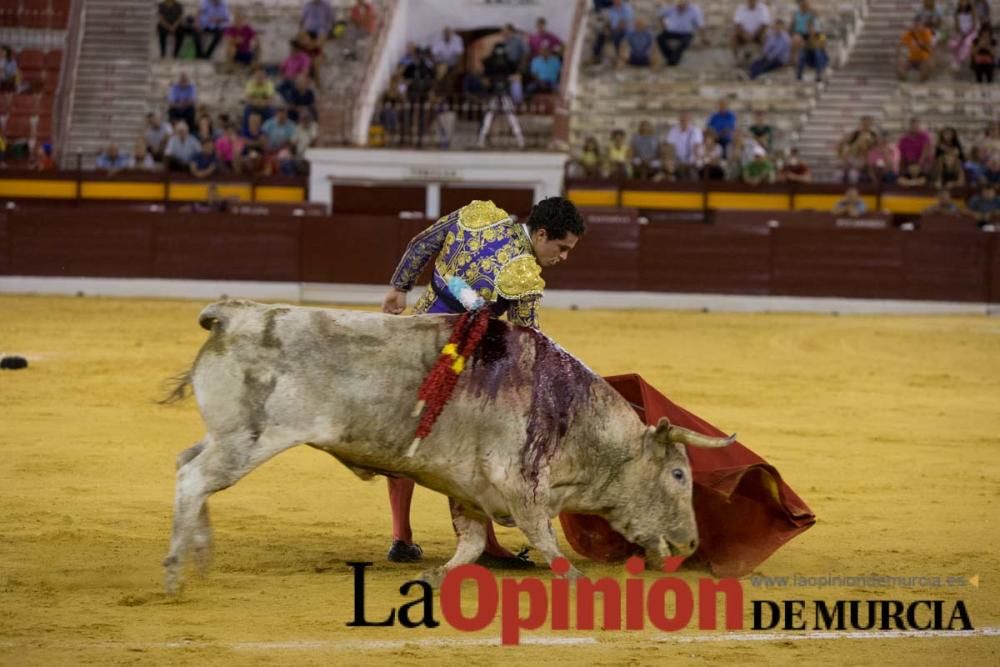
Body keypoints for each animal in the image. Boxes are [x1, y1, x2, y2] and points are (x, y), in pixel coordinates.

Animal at [164, 300, 736, 592]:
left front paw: (434, 576)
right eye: (679, 474)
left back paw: (200, 555)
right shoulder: (523, 485)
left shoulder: (470, 490)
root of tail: (231, 315)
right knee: (194, 478)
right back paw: (176, 572)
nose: (690, 542)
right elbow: (543, 537)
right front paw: (574, 576)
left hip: (227, 435)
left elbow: (472, 543)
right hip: (249, 438)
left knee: (187, 464)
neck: (571, 417)